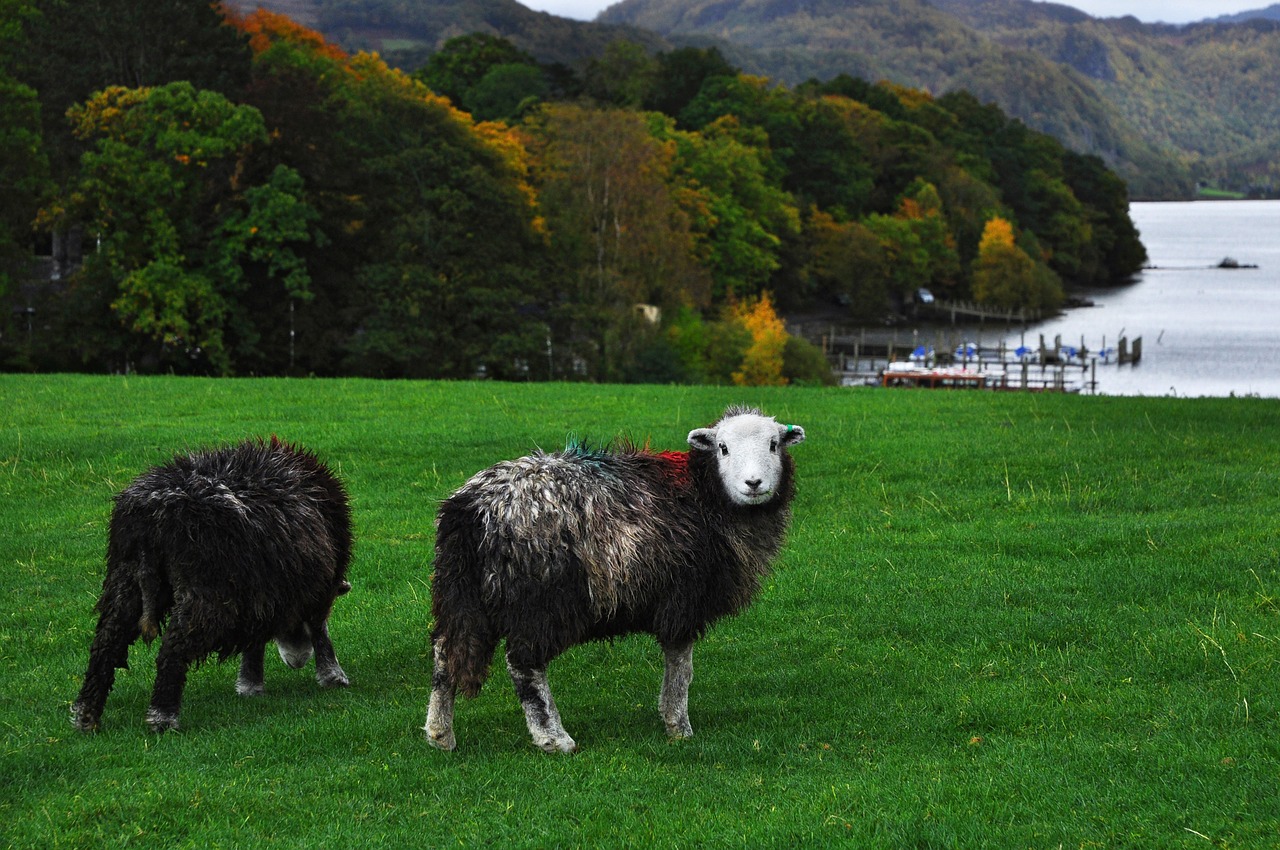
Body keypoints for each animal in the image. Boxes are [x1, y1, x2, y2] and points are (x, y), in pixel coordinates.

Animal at [72, 437, 353, 732]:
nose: (297, 661)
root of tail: (153, 519)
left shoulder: (261, 594)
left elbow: (257, 638)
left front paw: (250, 684)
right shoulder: (316, 587)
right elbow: (319, 627)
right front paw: (332, 676)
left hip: (124, 580)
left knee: (106, 644)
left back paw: (85, 716)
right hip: (205, 593)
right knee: (171, 651)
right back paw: (162, 716)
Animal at [424, 404, 803, 752]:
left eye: (773, 444)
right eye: (722, 448)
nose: (753, 483)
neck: (704, 494)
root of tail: (469, 508)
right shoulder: (683, 597)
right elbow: (681, 667)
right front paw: (678, 725)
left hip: (464, 592)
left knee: (445, 653)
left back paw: (441, 734)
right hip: (540, 598)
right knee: (523, 663)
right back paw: (553, 738)